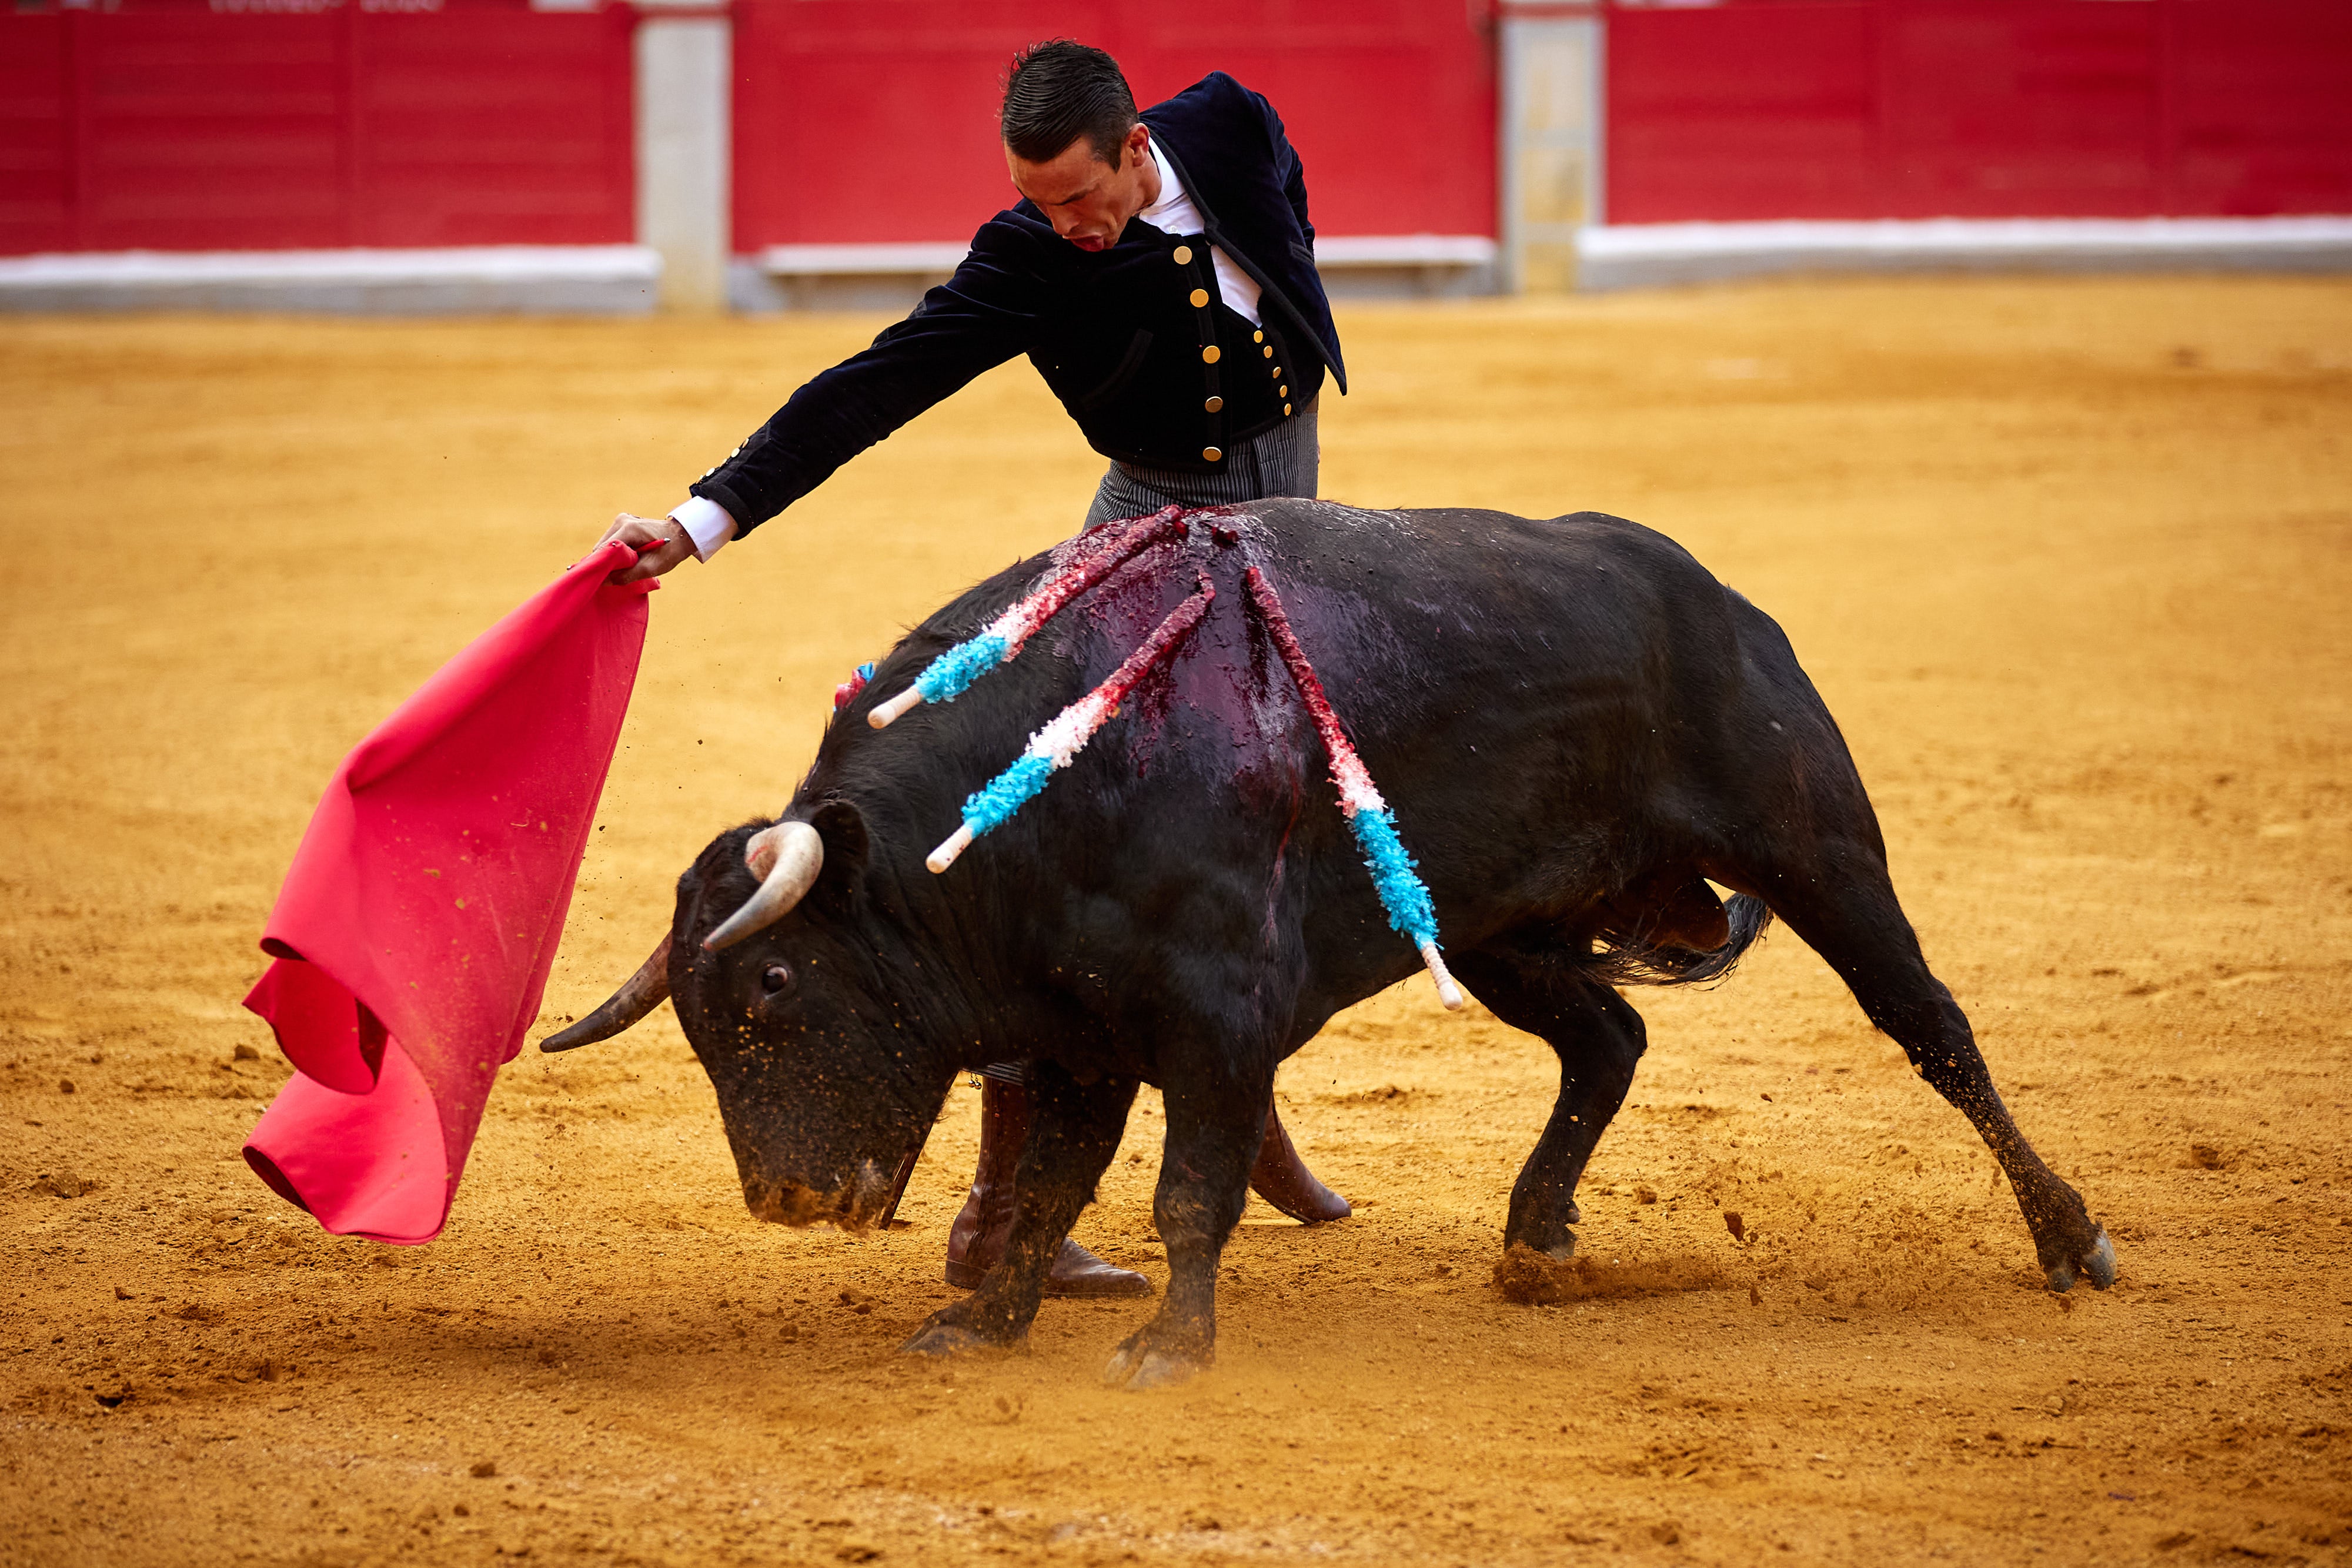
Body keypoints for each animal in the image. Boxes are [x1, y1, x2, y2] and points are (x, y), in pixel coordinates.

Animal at [546, 500, 2117, 1382]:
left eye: (775, 982)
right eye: (697, 1028)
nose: (785, 1200)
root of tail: (1716, 596)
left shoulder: (1214, 1016)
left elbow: (1186, 1189)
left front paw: (1167, 1351)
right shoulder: (1082, 1035)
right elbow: (1052, 1187)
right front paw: (982, 1326)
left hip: (1813, 845)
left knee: (1934, 1031)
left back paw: (2070, 1240)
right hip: (1499, 926)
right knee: (1610, 1035)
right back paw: (1535, 1238)